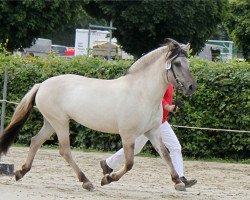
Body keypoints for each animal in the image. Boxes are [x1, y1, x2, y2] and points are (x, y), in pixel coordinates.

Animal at [0, 38, 197, 191]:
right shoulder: (128, 135)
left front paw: (178, 182)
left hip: (51, 122)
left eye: (189, 64)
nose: (191, 87)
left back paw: (20, 173)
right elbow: (129, 163)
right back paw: (86, 182)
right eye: (177, 64)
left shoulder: (153, 132)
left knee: (35, 141)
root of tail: (42, 84)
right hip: (60, 122)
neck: (143, 93)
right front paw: (107, 179)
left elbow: (165, 154)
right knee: (64, 150)